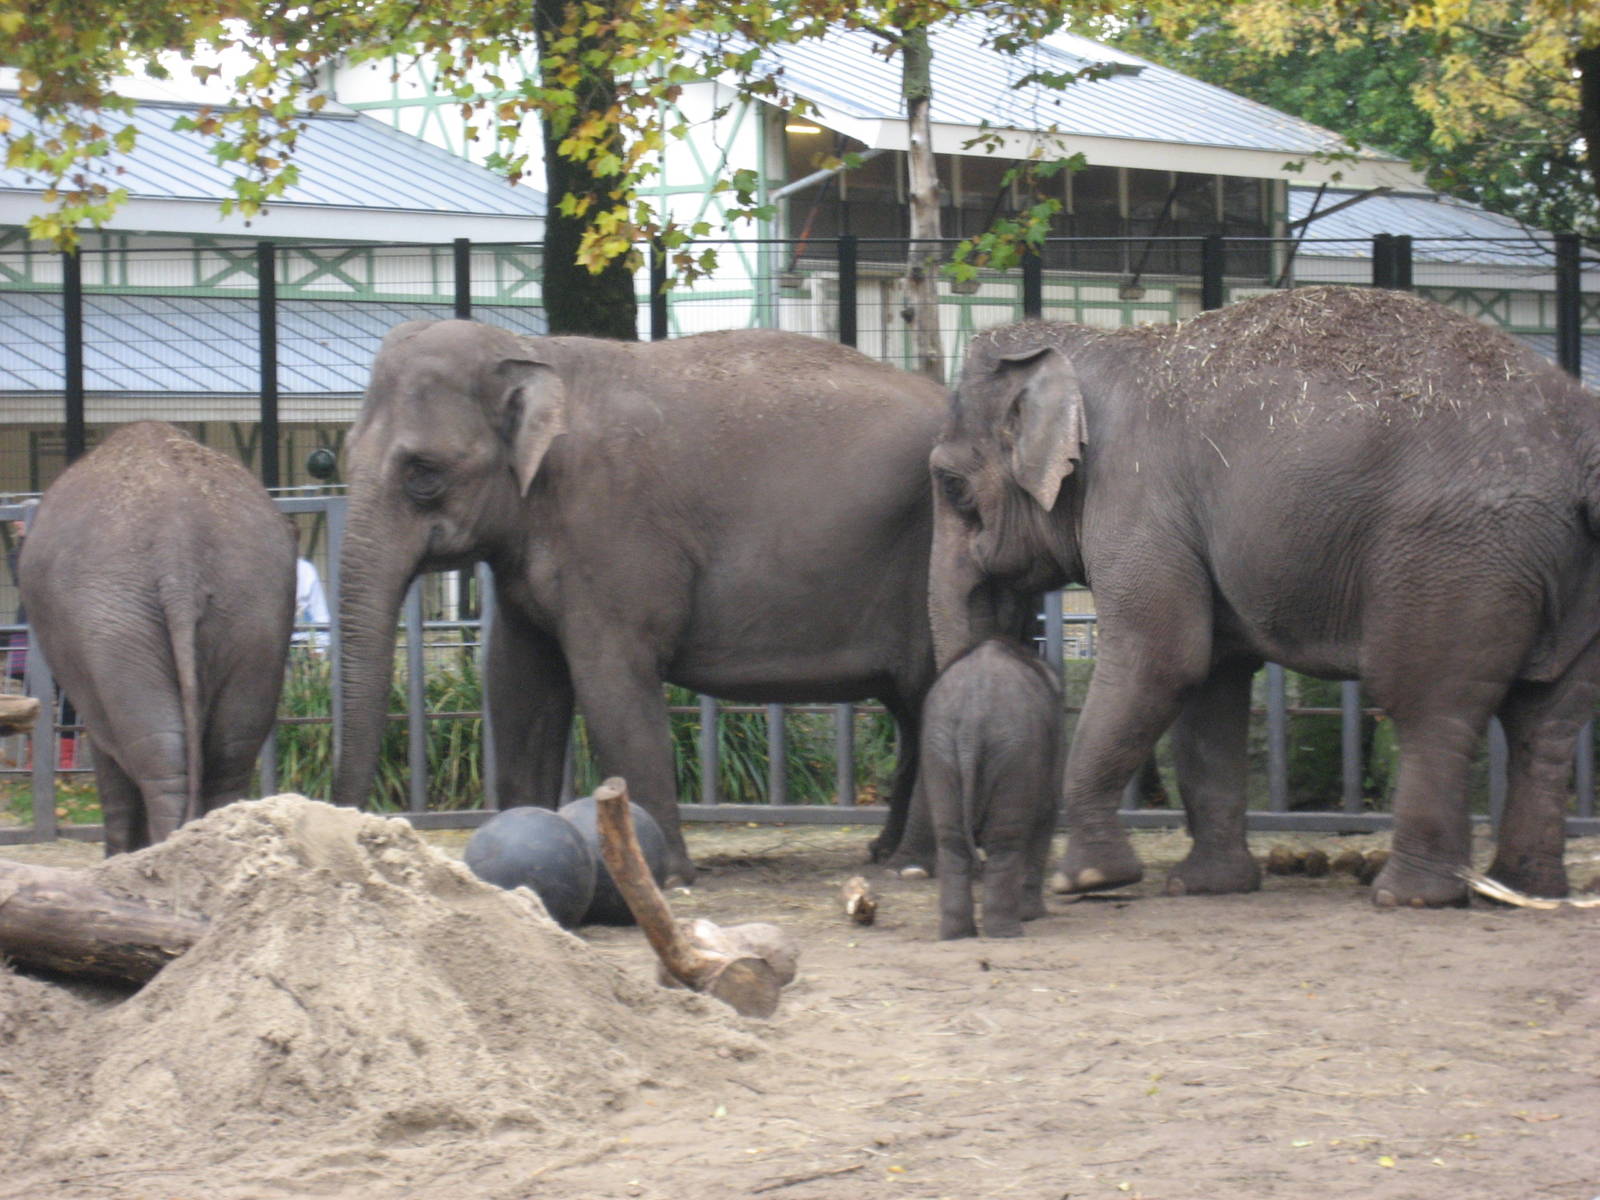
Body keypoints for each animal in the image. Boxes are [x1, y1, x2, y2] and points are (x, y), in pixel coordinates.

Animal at [331, 320, 964, 884]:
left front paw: (668, 876)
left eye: (423, 473)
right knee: (911, 706)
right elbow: (517, 681)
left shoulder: (612, 529)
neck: (534, 351)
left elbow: (611, 681)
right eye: (340, 457)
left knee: (931, 693)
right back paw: (884, 853)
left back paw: (911, 865)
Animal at [919, 636, 1061, 939]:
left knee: (951, 842)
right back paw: (1008, 931)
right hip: (1014, 752)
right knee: (1005, 841)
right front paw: (1034, 916)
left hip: (938, 748)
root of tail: (971, 723)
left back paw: (956, 933)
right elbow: (1046, 815)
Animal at [927, 285, 1600, 908]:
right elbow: (1212, 686)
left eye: (950, 484)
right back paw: (1521, 887)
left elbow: (1161, 660)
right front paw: (1206, 887)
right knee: (1546, 721)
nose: (981, 864)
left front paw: (1087, 880)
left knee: (1429, 705)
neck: (1089, 344)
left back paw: (1408, 896)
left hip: (1453, 556)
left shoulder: (1138, 504)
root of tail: (1580, 441)